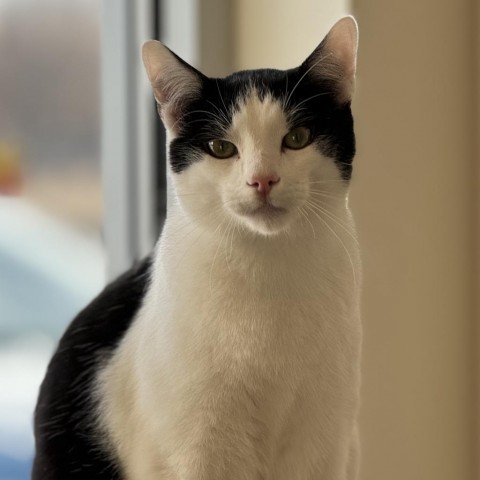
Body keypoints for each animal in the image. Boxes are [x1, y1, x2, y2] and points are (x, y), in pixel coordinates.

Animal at [31, 15, 362, 480]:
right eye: (221, 148)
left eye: (297, 137)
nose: (262, 179)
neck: (268, 273)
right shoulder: (198, 451)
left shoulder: (322, 446)